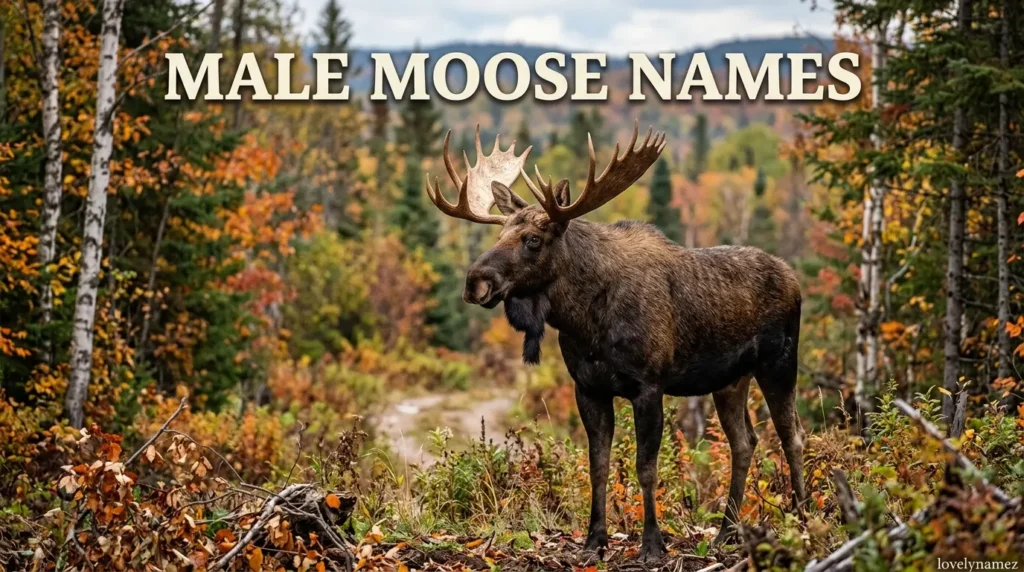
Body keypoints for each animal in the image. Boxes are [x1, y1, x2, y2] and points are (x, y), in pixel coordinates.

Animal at [425, 122, 805, 562]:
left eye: (533, 239)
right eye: (501, 231)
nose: (475, 282)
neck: (585, 322)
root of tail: (795, 280)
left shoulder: (649, 385)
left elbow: (646, 467)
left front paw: (652, 545)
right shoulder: (588, 387)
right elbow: (598, 465)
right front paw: (595, 541)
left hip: (780, 362)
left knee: (792, 435)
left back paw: (802, 516)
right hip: (730, 380)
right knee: (745, 442)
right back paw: (726, 531)